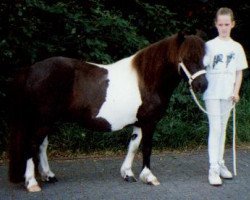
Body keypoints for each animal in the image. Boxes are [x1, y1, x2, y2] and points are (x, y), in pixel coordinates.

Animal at [7, 31, 207, 192]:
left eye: (204, 58)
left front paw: (127, 174)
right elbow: (147, 148)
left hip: (47, 121)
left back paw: (48, 175)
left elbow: (133, 146)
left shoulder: (139, 122)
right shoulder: (149, 122)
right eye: (186, 57)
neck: (147, 79)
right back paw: (32, 183)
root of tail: (31, 70)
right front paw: (149, 177)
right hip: (43, 120)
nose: (202, 85)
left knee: (42, 145)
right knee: (32, 145)